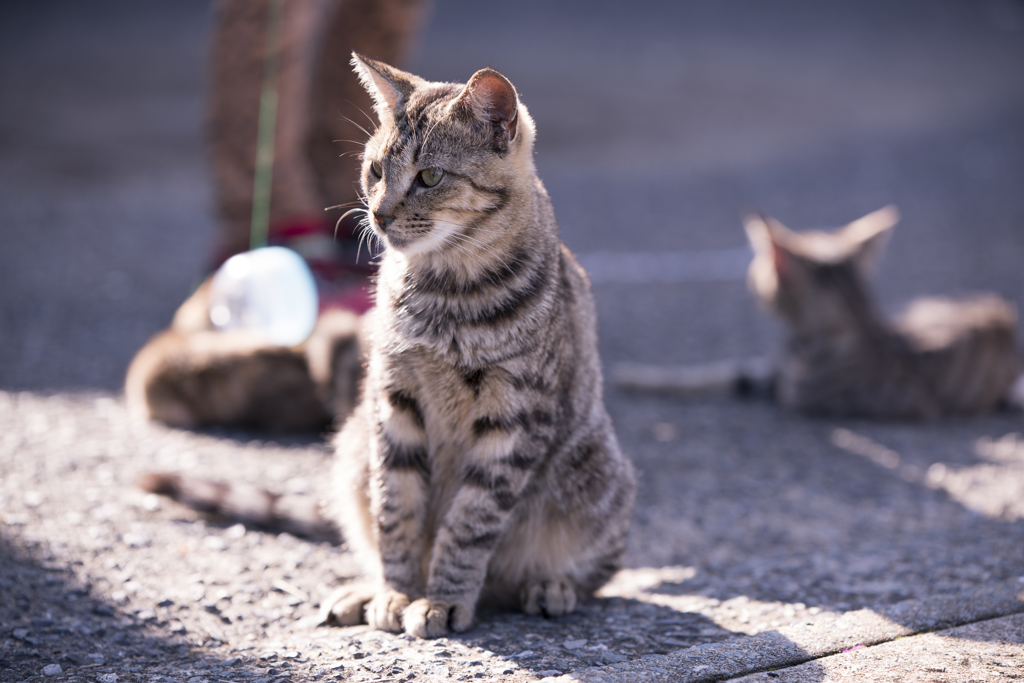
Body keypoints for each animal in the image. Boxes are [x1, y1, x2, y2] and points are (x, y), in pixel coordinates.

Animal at [319, 54, 634, 643]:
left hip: (596, 471)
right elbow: (395, 509)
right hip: (352, 447)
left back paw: (549, 586)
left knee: (587, 572)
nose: (378, 215)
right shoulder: (393, 401)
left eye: (430, 176)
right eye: (374, 171)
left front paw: (443, 599)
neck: (444, 291)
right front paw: (396, 591)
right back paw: (362, 592)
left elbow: (469, 522)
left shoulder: (515, 418)